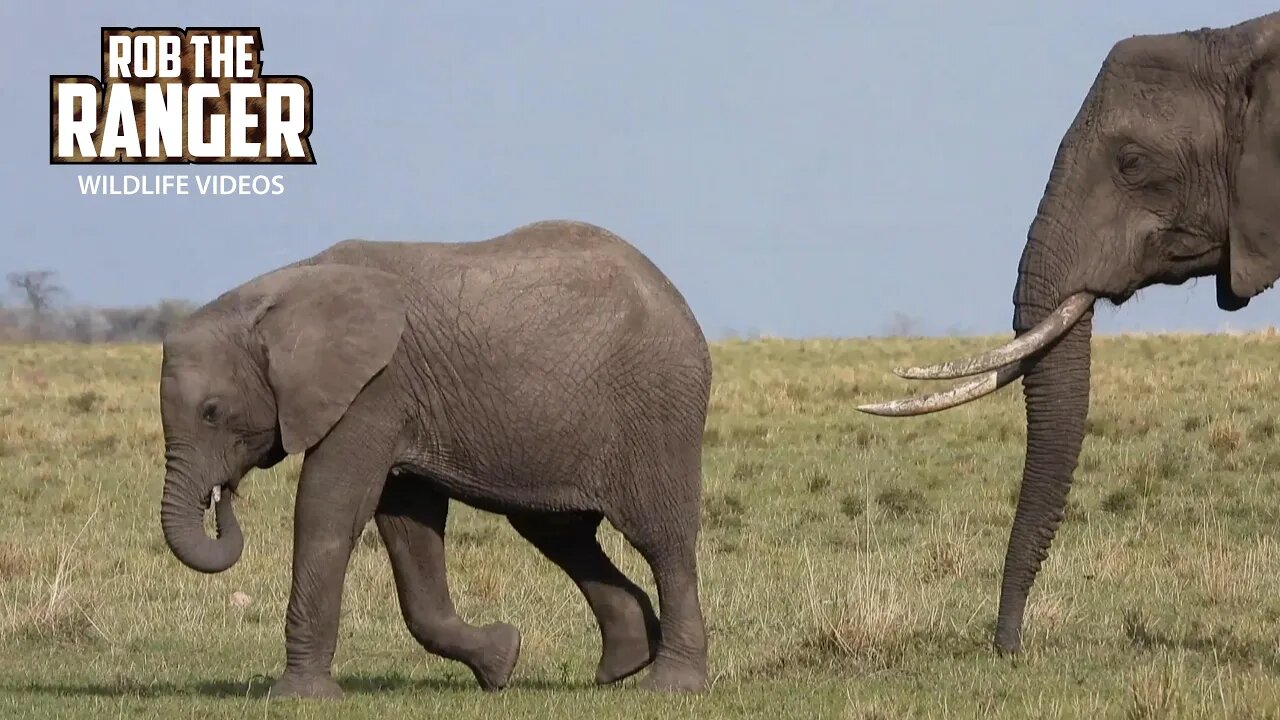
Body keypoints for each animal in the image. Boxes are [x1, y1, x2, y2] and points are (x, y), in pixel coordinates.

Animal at [157, 219, 711, 696]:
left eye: (211, 412)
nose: (222, 495)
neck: (279, 294)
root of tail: (674, 295)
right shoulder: (400, 404)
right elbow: (408, 527)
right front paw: (501, 662)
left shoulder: (375, 390)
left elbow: (329, 508)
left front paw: (298, 697)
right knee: (559, 533)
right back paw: (625, 663)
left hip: (657, 410)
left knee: (662, 539)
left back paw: (670, 684)